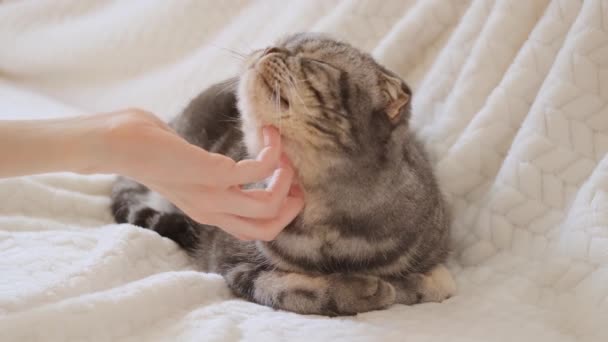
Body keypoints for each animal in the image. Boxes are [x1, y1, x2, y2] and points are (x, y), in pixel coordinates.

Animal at [113, 32, 456, 316]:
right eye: (282, 42)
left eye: (315, 62)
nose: (271, 47)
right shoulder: (232, 262)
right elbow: (289, 290)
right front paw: (363, 290)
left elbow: (438, 282)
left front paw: (410, 283)